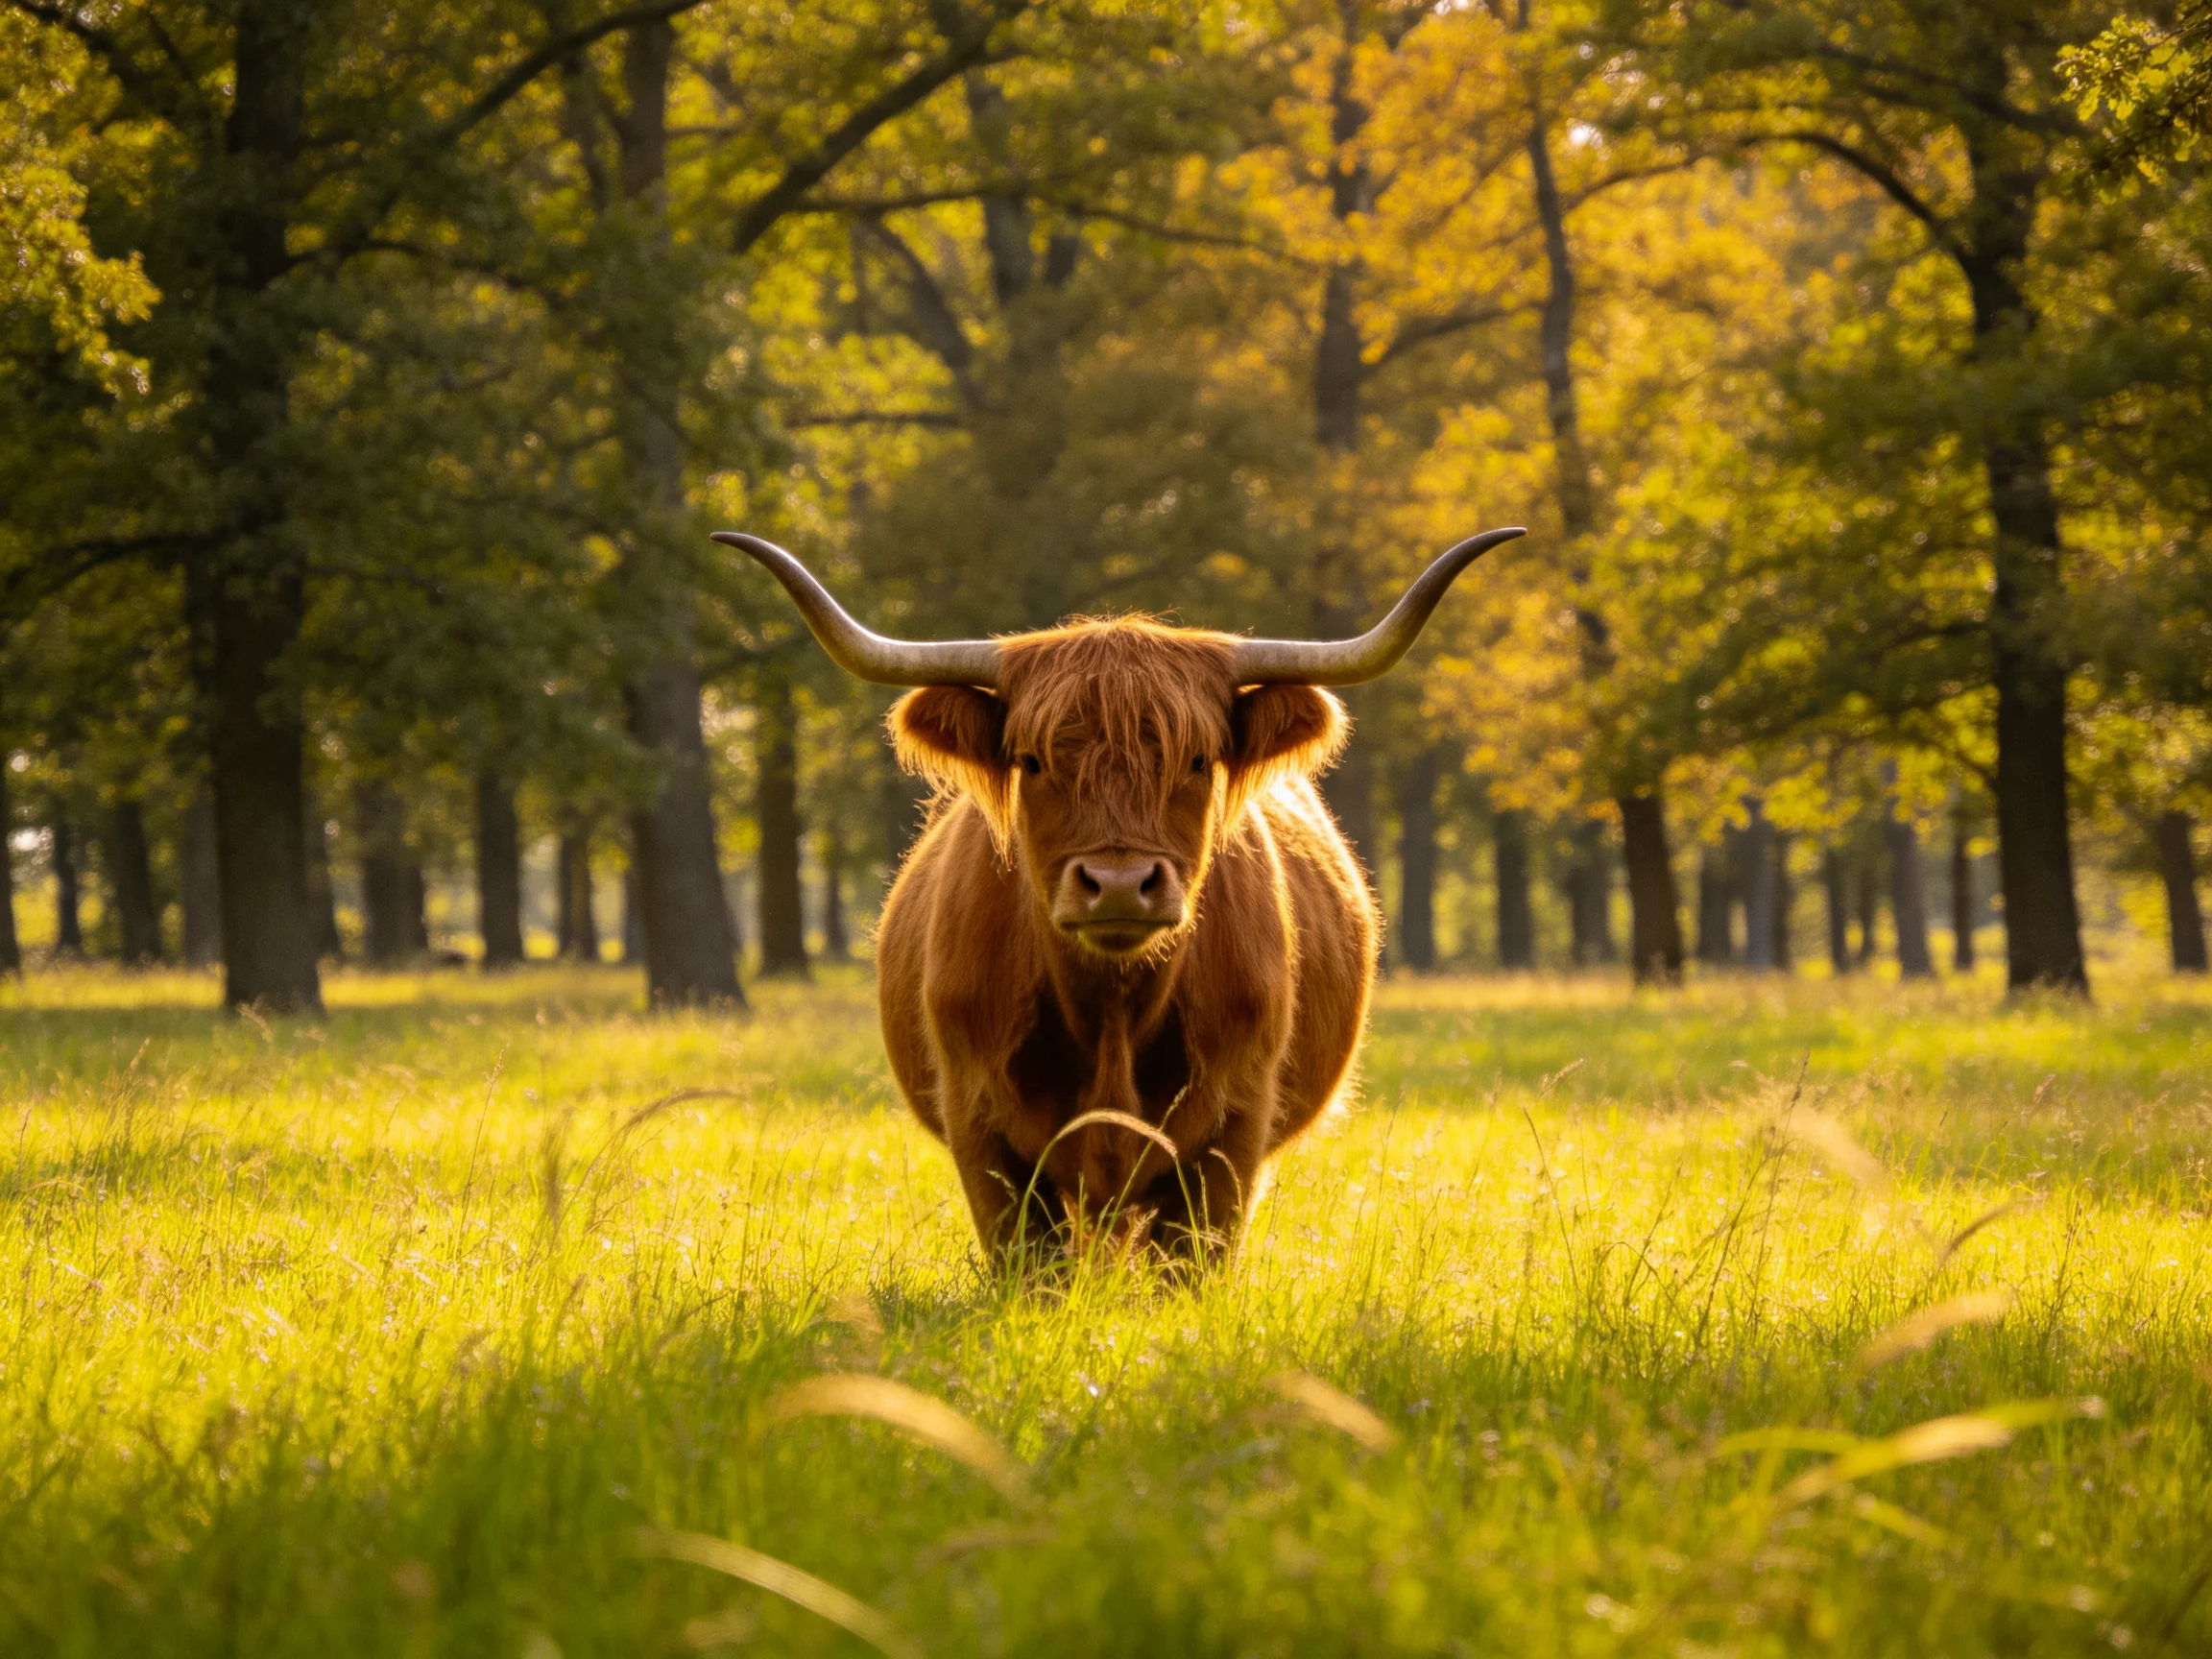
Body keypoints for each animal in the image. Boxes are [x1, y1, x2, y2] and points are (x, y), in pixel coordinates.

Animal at [712, 527, 1525, 1267]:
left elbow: (1189, 1265)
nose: (1119, 884)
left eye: (1196, 759)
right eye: (1033, 760)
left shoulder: (1236, 1126)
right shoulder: (981, 1127)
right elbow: (1028, 1264)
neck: (1110, 1013)